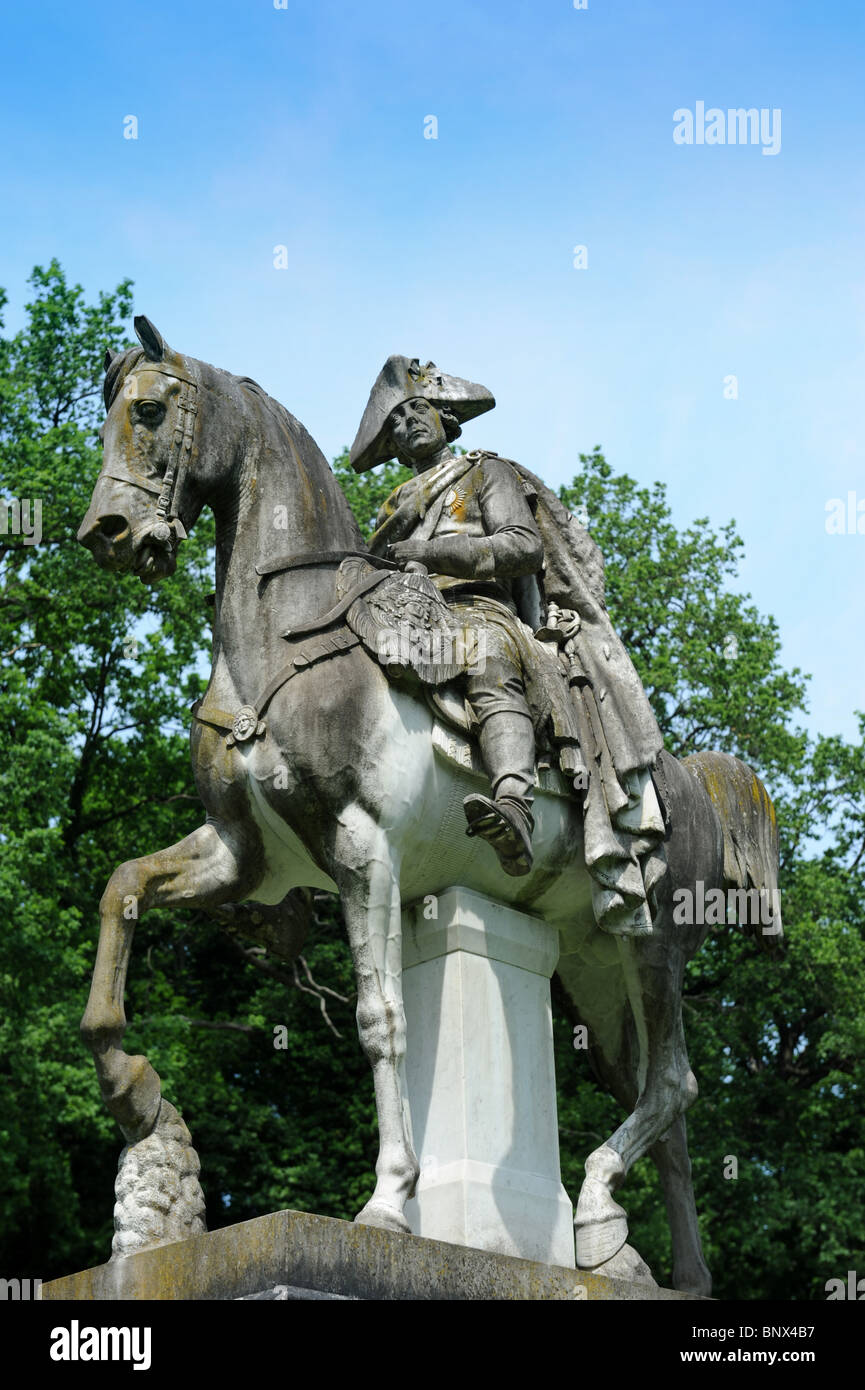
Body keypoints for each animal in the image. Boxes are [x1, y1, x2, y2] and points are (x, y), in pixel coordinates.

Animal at [77, 319, 784, 1295]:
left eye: (148, 411)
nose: (106, 532)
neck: (281, 642)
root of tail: (691, 778)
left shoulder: (362, 848)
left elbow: (380, 1022)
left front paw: (386, 1207)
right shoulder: (243, 855)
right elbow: (120, 892)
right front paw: (132, 1088)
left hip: (654, 943)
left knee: (674, 1084)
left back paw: (600, 1218)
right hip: (598, 972)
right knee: (661, 1105)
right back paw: (648, 1263)